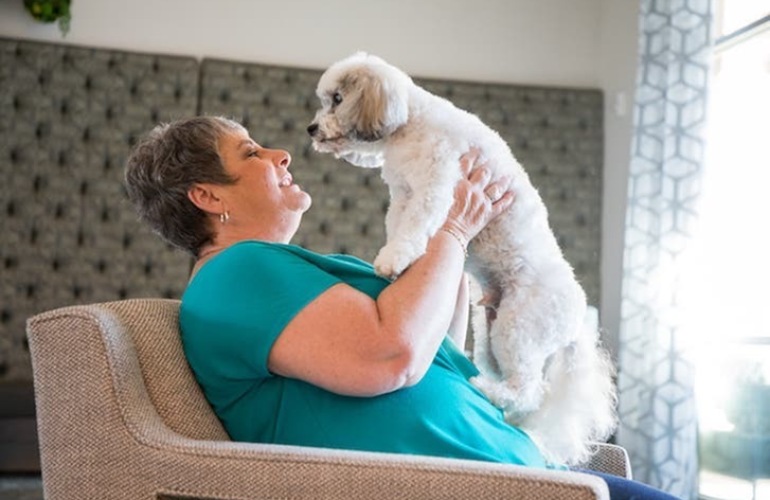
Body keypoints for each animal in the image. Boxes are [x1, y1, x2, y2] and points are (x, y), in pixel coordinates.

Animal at [308, 51, 616, 464]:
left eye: (337, 99)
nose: (311, 128)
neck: (410, 120)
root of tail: (578, 322)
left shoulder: (434, 187)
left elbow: (414, 227)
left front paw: (394, 260)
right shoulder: (403, 195)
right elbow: (400, 226)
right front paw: (398, 261)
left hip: (517, 329)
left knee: (529, 390)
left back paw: (489, 392)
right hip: (491, 337)